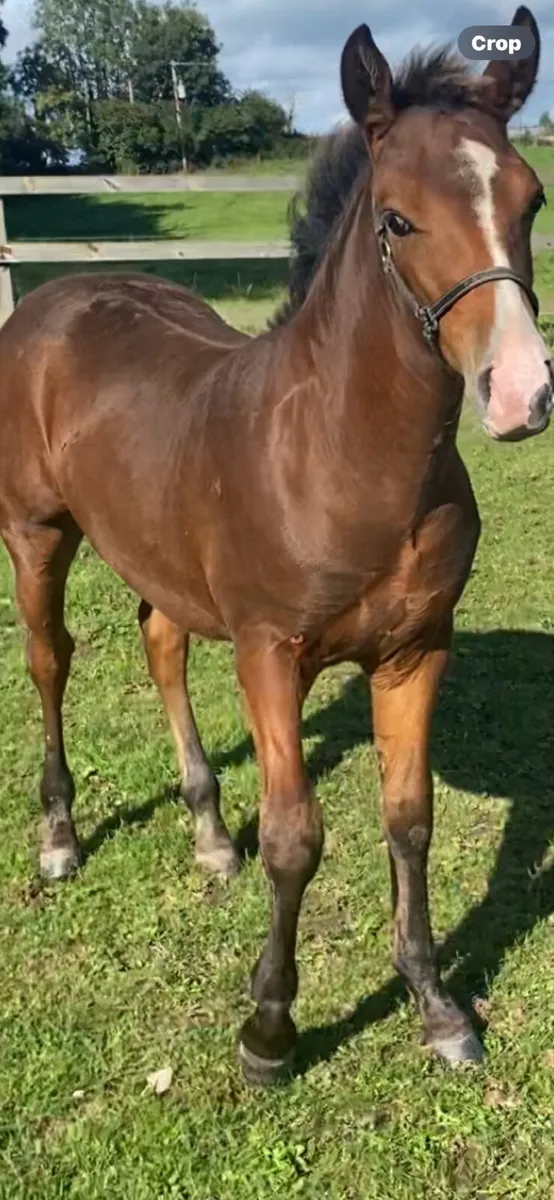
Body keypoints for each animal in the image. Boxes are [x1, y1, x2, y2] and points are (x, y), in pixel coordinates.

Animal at [0, 7, 551, 1084]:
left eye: (531, 199)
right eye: (396, 219)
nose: (521, 394)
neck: (340, 454)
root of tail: (58, 294)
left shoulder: (414, 651)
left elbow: (408, 819)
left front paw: (435, 1007)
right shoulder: (268, 653)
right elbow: (297, 838)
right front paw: (268, 1028)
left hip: (160, 556)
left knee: (160, 643)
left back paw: (212, 833)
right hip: (34, 532)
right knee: (50, 661)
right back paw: (61, 836)